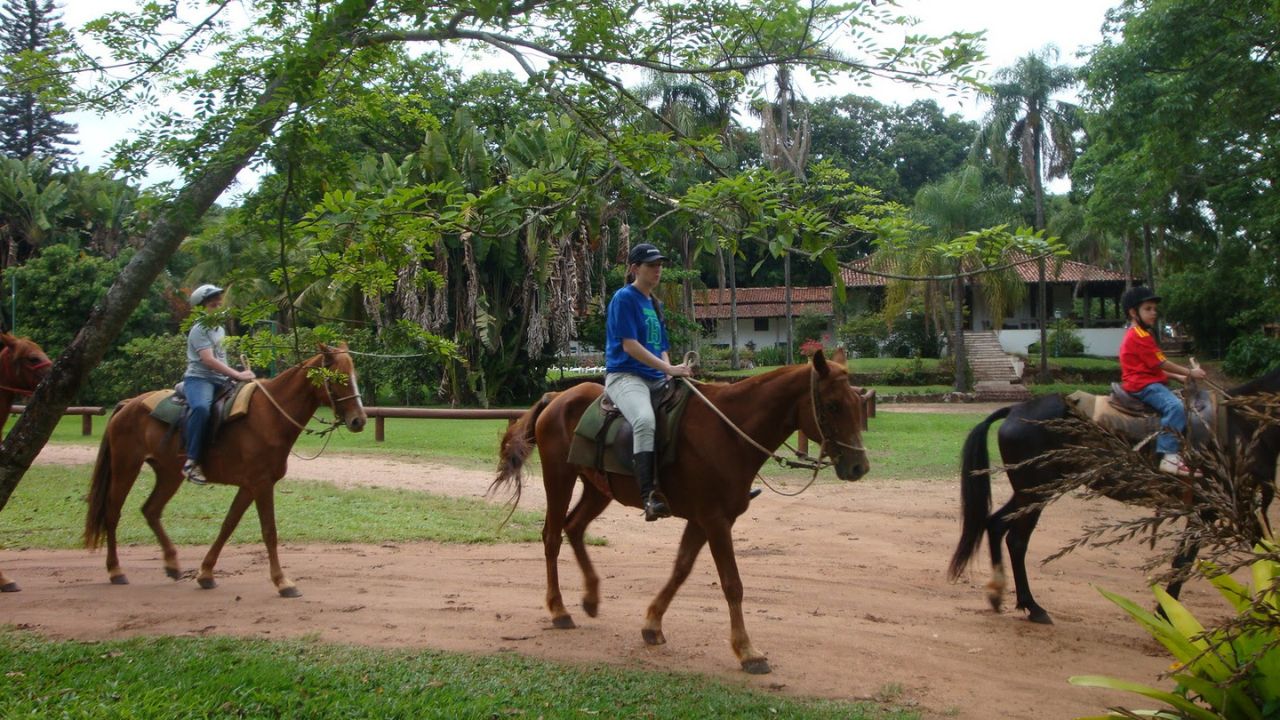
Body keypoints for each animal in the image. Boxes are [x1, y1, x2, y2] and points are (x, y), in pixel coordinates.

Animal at [83, 340, 366, 594]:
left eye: (355, 376)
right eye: (340, 378)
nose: (359, 420)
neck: (270, 417)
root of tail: (127, 404)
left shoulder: (249, 486)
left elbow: (228, 525)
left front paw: (206, 574)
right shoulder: (261, 484)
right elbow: (269, 531)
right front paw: (282, 582)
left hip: (169, 473)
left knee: (151, 510)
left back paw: (172, 564)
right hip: (126, 467)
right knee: (112, 513)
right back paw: (116, 570)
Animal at [488, 348, 870, 671]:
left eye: (858, 402)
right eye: (833, 406)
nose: (858, 467)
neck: (729, 432)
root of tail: (557, 398)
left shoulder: (703, 520)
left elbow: (681, 568)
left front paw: (652, 624)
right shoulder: (716, 520)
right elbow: (732, 584)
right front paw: (747, 651)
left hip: (598, 488)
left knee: (575, 528)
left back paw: (592, 597)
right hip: (560, 478)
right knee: (552, 536)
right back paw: (559, 610)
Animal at [952, 366, 1280, 620]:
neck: (1243, 424)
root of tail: (1016, 410)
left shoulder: (1232, 507)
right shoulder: (1213, 507)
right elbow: (1189, 560)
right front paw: (1166, 616)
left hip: (1028, 491)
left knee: (996, 525)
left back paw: (999, 593)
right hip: (1037, 492)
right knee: (1016, 540)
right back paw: (1032, 607)